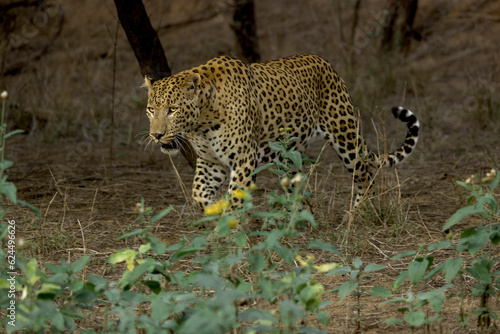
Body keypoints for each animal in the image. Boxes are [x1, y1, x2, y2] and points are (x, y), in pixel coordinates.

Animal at [145, 54, 418, 211]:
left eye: (172, 110)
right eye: (150, 110)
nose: (156, 135)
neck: (201, 121)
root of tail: (326, 63)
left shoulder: (243, 161)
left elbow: (236, 200)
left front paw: (230, 236)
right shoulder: (211, 162)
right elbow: (198, 194)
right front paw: (215, 209)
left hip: (346, 136)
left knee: (366, 176)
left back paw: (360, 214)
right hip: (288, 158)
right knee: (297, 187)